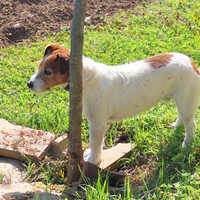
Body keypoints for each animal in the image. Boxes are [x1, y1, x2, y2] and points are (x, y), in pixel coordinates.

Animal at [28, 43, 200, 165]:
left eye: (48, 72)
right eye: (39, 67)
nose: (29, 84)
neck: (85, 78)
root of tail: (192, 63)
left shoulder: (97, 124)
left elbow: (95, 143)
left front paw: (93, 160)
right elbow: (97, 144)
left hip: (185, 103)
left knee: (191, 125)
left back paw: (185, 146)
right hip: (182, 102)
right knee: (183, 119)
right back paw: (176, 126)